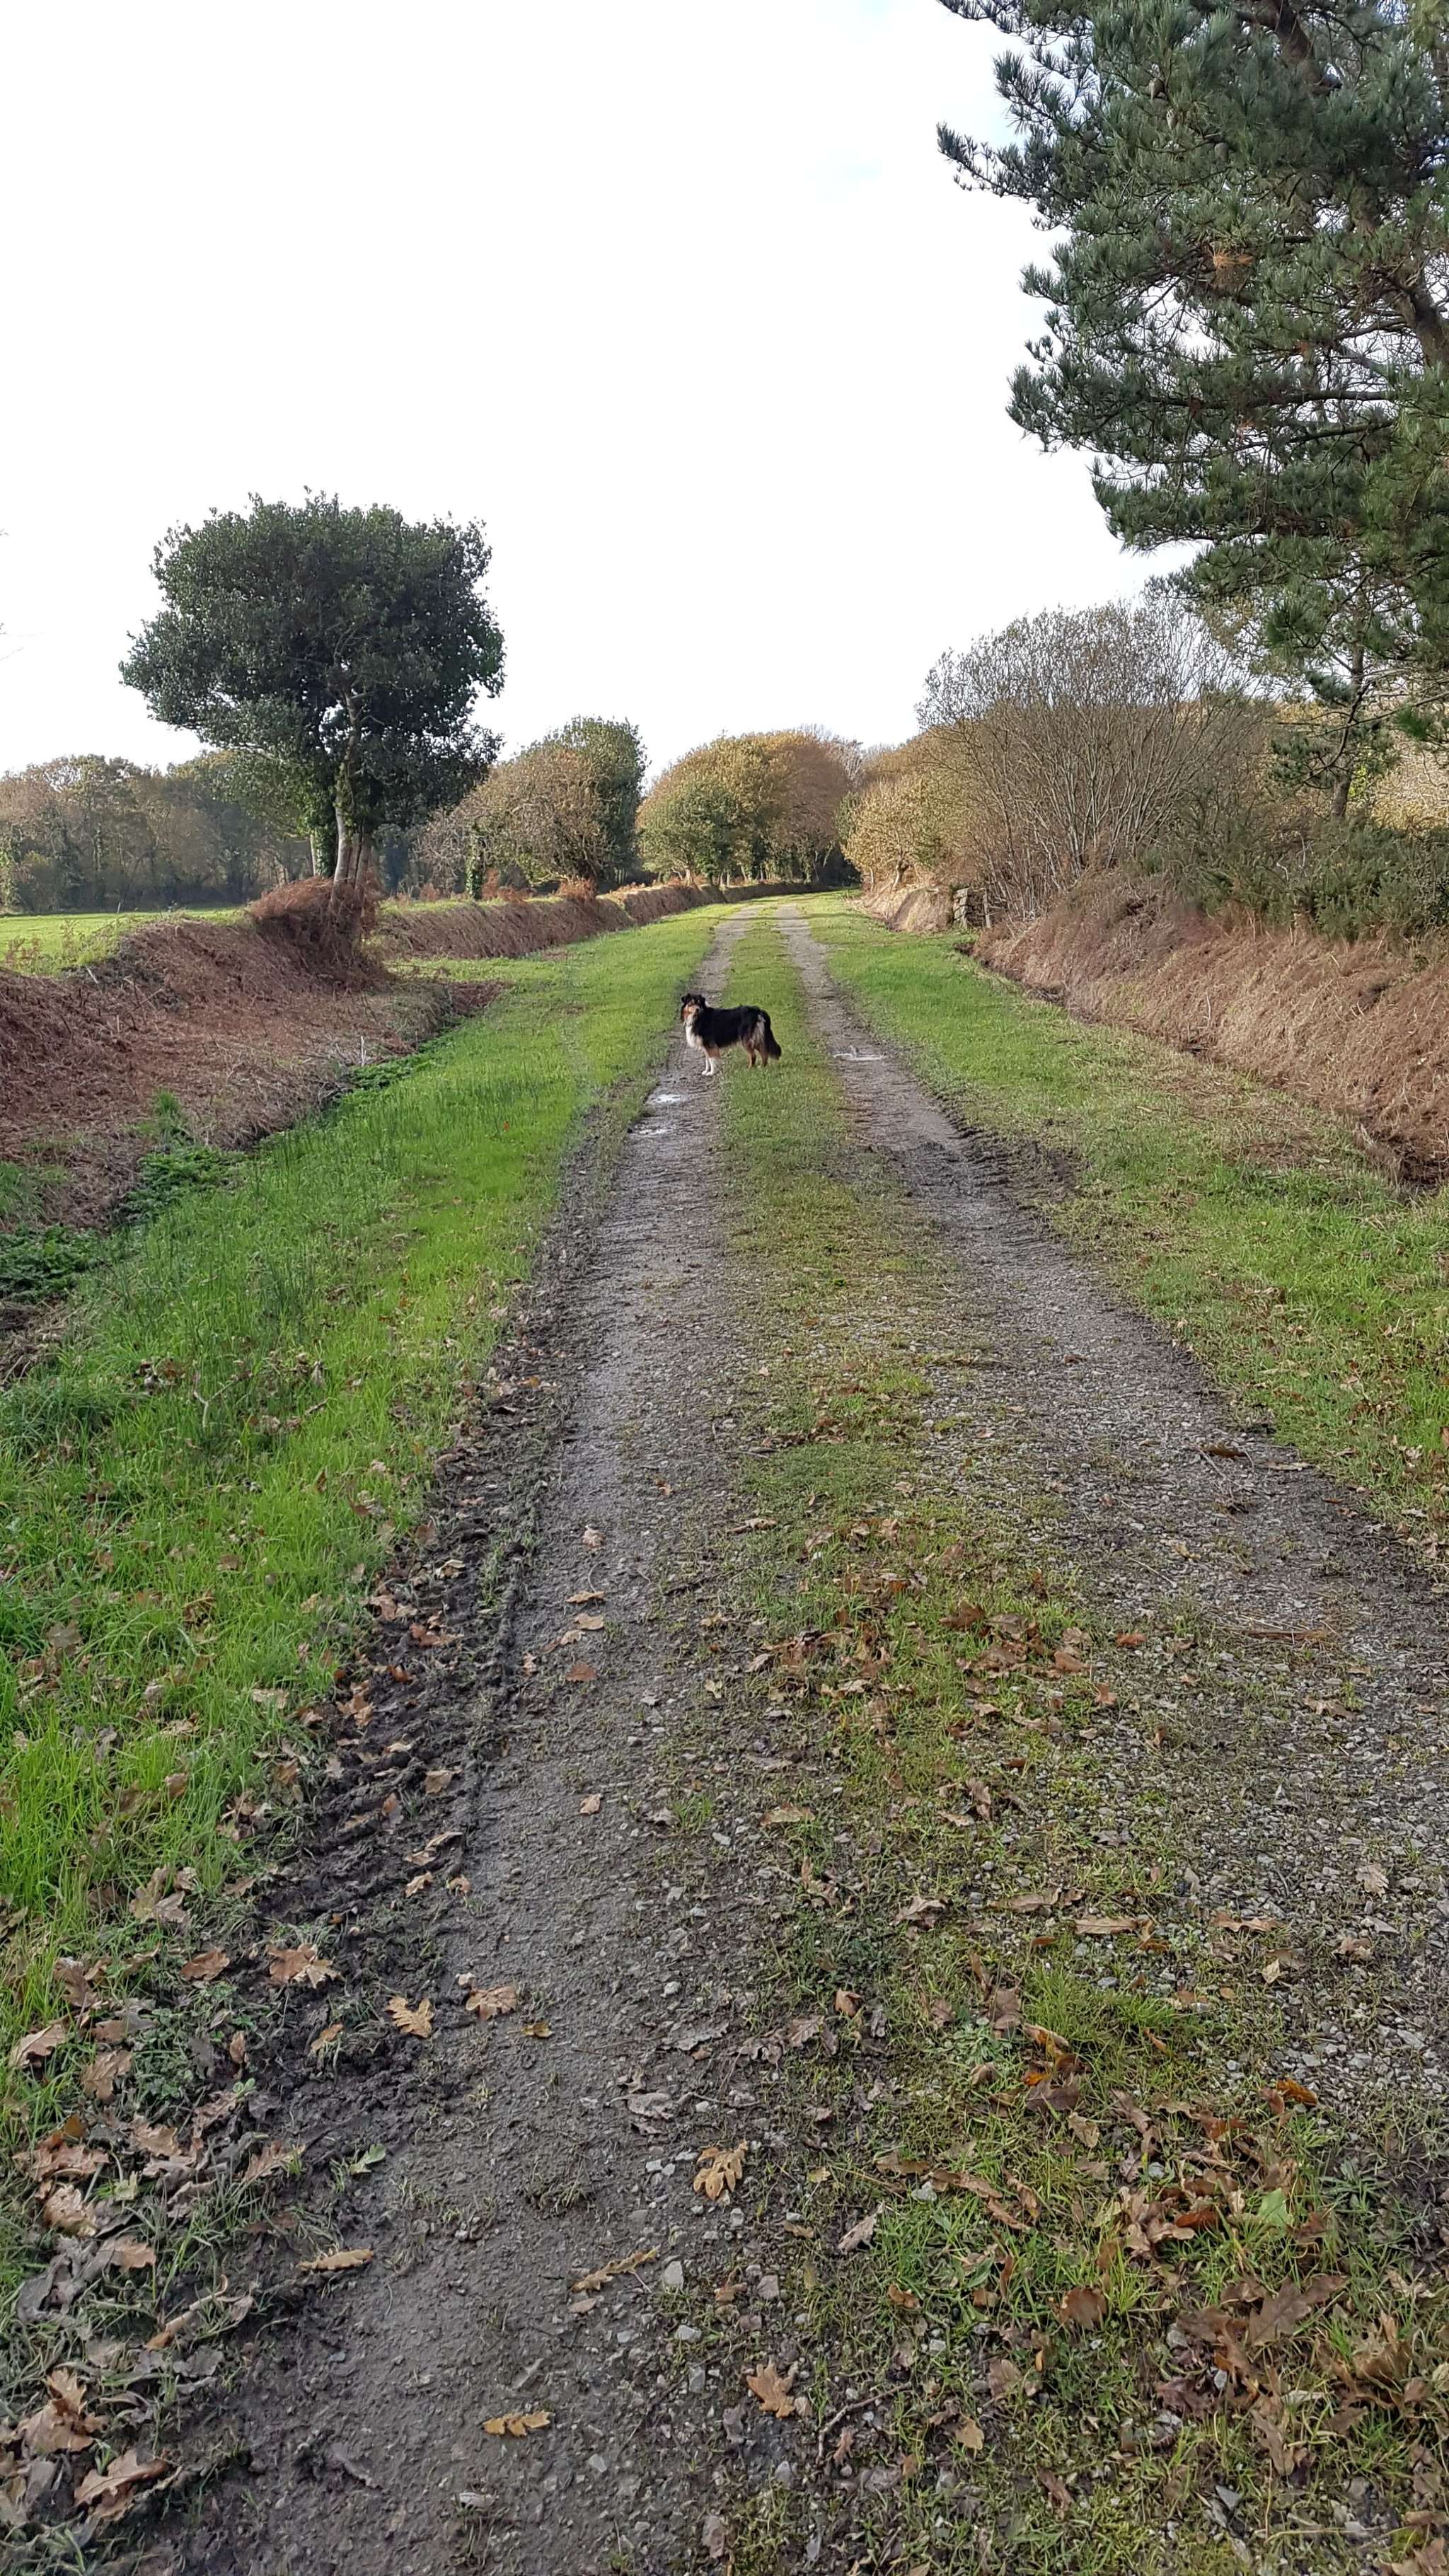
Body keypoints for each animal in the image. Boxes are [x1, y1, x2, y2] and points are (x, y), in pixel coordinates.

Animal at [679, 992, 782, 1077]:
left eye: (699, 1003)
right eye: (691, 1003)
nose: (698, 1009)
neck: (699, 1017)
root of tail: (758, 1011)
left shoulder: (709, 1044)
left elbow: (711, 1059)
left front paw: (711, 1073)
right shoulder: (705, 1045)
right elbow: (707, 1060)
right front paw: (706, 1071)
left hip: (747, 1039)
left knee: (754, 1055)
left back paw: (749, 1069)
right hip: (757, 1037)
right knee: (764, 1052)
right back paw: (762, 1067)